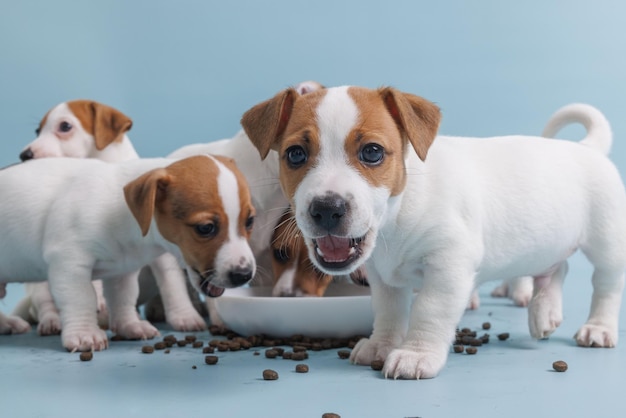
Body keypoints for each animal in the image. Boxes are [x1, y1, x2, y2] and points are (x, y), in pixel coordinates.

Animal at [0, 155, 255, 352]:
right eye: (205, 228)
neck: (119, 213)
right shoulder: (70, 263)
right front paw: (84, 333)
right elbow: (81, 298)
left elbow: (123, 298)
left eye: (250, 221)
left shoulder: (122, 271)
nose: (244, 275)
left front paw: (129, 325)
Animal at [241, 86, 624, 380]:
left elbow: (428, 310)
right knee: (558, 268)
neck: (395, 217)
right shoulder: (382, 277)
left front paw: (416, 355)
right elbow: (389, 311)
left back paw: (598, 328)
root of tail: (587, 148)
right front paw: (381, 344)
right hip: (547, 243)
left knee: (605, 286)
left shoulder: (448, 266)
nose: (326, 209)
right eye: (295, 154)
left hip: (606, 243)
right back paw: (545, 312)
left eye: (372, 152)